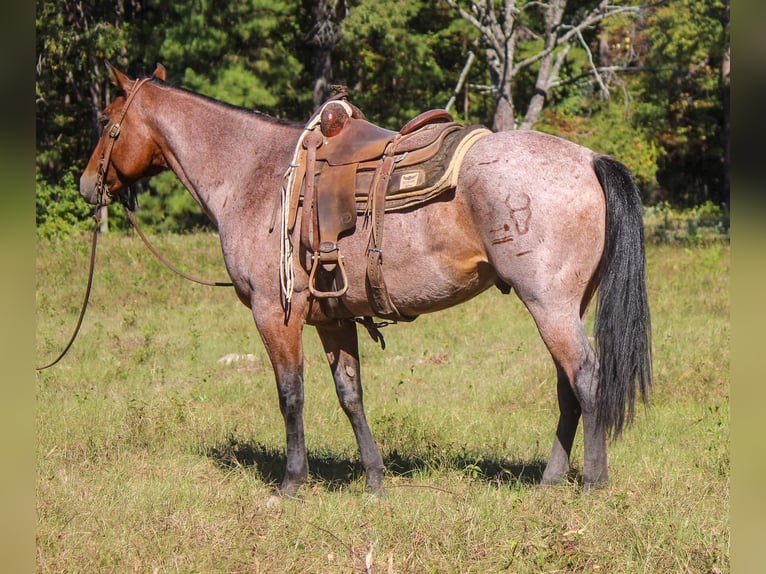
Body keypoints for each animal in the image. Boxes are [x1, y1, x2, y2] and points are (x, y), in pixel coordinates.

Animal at [79, 62, 656, 496]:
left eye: (108, 121)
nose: (87, 185)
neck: (255, 175)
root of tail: (590, 158)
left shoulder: (276, 314)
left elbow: (291, 394)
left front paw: (292, 482)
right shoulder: (332, 317)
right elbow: (349, 393)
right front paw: (375, 478)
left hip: (549, 305)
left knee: (586, 379)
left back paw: (592, 481)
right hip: (564, 307)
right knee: (567, 388)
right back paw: (550, 480)